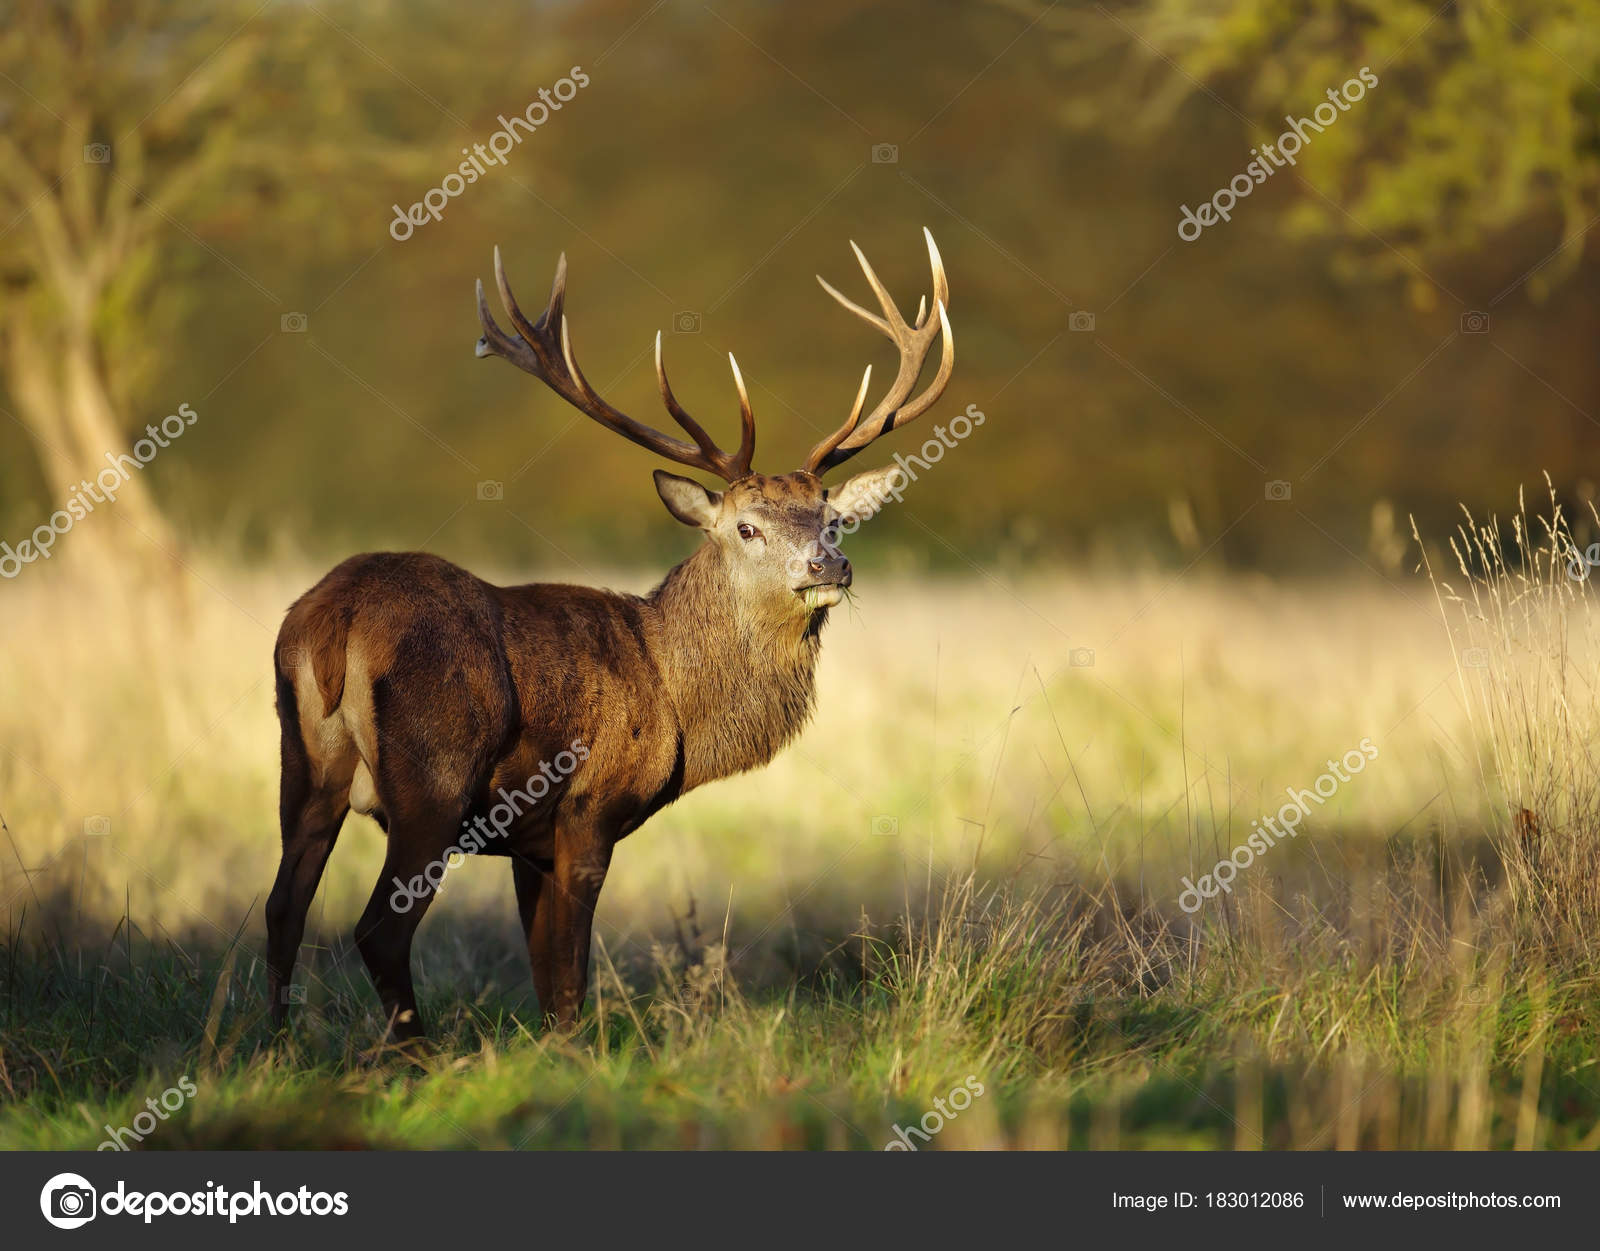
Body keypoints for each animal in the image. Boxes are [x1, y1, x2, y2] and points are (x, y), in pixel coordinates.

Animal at [265, 229, 955, 1041]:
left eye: (833, 518)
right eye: (746, 527)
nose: (831, 564)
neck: (673, 693)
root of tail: (334, 615)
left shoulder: (527, 843)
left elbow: (541, 968)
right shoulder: (589, 803)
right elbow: (569, 971)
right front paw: (574, 1052)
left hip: (302, 761)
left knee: (282, 908)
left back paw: (271, 1043)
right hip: (433, 773)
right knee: (379, 926)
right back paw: (414, 1051)